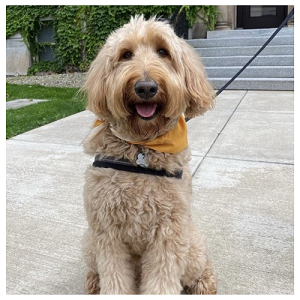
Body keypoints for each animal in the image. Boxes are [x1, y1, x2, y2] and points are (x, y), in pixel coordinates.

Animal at [81, 15, 217, 294]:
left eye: (163, 52)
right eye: (126, 54)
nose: (145, 87)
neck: (142, 147)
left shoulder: (169, 231)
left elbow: (163, 278)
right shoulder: (106, 231)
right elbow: (114, 275)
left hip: (192, 245)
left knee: (200, 266)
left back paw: (204, 283)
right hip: (89, 242)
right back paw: (93, 281)